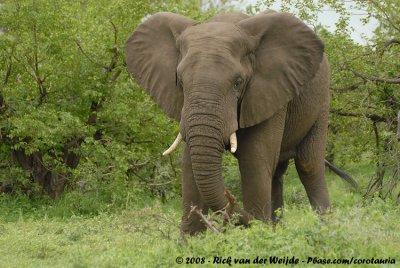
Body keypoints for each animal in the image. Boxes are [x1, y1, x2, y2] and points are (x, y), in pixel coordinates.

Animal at [126, 9, 332, 233]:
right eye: (179, 81)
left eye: (238, 83)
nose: (231, 201)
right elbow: (189, 165)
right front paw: (191, 240)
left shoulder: (268, 93)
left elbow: (254, 161)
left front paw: (257, 233)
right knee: (277, 173)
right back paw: (277, 228)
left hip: (321, 101)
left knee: (309, 166)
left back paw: (326, 229)